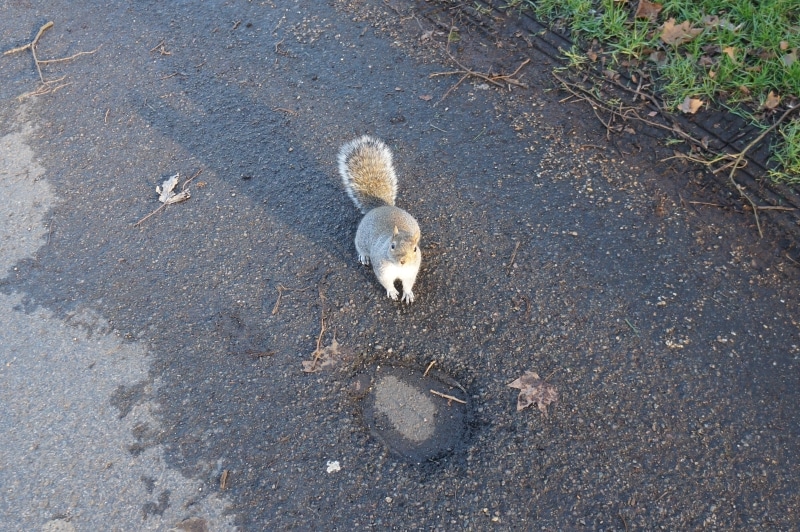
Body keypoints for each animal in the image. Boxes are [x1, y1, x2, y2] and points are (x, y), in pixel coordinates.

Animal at [338, 135, 422, 306]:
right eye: (392, 246)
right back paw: (364, 256)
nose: (403, 261)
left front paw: (407, 293)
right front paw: (392, 291)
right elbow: (386, 282)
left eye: (415, 249)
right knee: (361, 248)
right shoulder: (382, 269)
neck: (399, 269)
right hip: (361, 239)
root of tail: (381, 206)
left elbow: (408, 283)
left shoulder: (411, 271)